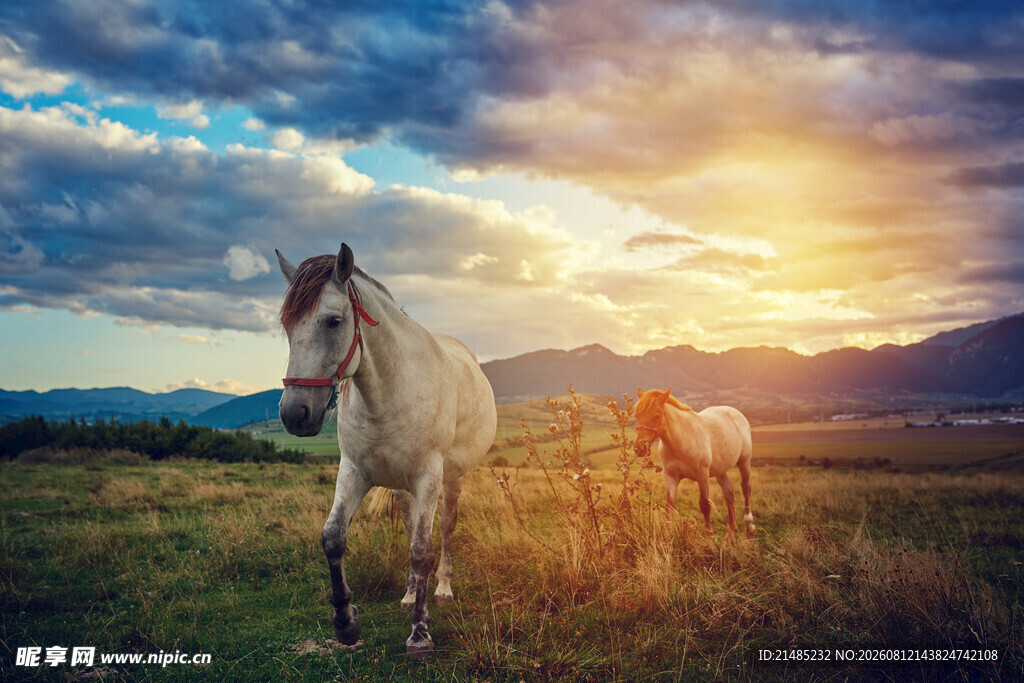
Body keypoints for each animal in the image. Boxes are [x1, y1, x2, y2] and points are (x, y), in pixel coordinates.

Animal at [276, 243, 497, 658]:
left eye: (333, 321)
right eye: (287, 325)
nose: (294, 414)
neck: (390, 392)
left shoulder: (429, 475)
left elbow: (423, 550)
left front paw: (420, 634)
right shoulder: (354, 470)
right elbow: (333, 538)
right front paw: (346, 623)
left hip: (452, 478)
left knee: (445, 528)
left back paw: (442, 589)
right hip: (401, 485)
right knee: (410, 526)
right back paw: (410, 595)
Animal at [634, 388, 754, 539]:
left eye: (656, 416)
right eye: (637, 415)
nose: (639, 448)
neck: (681, 440)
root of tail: (736, 413)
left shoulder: (702, 476)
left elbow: (705, 505)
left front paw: (709, 536)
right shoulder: (670, 476)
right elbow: (669, 506)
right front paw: (666, 539)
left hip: (744, 461)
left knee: (746, 488)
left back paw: (749, 527)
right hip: (721, 470)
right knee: (729, 494)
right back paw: (731, 533)